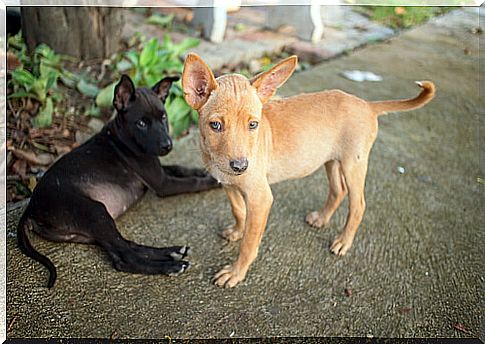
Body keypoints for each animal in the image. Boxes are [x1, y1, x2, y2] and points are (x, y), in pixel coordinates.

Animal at [17, 74, 220, 288]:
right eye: (141, 123)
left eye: (163, 117)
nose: (167, 146)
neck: (122, 137)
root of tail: (31, 208)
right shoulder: (162, 183)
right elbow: (192, 183)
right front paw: (213, 181)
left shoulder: (158, 170)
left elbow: (180, 168)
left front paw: (204, 171)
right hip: (95, 211)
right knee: (124, 259)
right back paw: (170, 266)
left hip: (90, 231)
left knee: (127, 246)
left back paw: (171, 252)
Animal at [182, 52, 434, 286]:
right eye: (215, 125)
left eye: (253, 124)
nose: (241, 166)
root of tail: (367, 105)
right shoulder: (229, 185)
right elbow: (238, 211)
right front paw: (237, 231)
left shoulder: (260, 197)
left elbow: (249, 243)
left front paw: (236, 272)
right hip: (330, 160)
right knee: (338, 190)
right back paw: (321, 219)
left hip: (354, 164)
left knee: (358, 205)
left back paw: (343, 241)